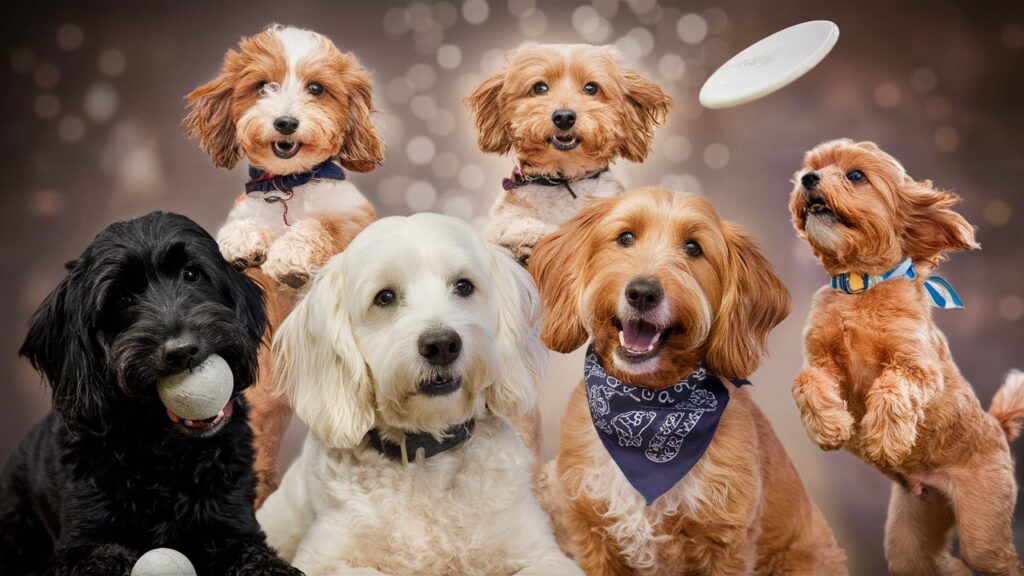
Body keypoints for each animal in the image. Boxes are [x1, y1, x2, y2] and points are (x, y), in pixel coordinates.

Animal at [0, 212, 301, 573]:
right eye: (122, 298)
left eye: (191, 274)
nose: (182, 351)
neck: (165, 452)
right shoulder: (79, 543)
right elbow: (104, 558)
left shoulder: (233, 523)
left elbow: (252, 552)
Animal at [464, 44, 671, 262]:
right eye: (539, 88)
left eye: (591, 88)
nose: (564, 117)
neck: (564, 180)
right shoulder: (502, 219)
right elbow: (515, 225)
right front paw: (535, 237)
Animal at [528, 186, 847, 569]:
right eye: (625, 237)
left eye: (693, 248)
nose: (643, 293)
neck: (649, 404)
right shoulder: (591, 534)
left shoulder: (726, 545)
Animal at [790, 139, 1024, 573]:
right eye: (812, 166)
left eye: (855, 175)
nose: (808, 179)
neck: (860, 287)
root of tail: (997, 428)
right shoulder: (821, 360)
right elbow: (807, 382)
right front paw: (830, 427)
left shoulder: (916, 365)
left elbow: (890, 387)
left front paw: (884, 441)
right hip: (910, 540)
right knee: (945, 564)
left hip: (983, 526)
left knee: (990, 559)